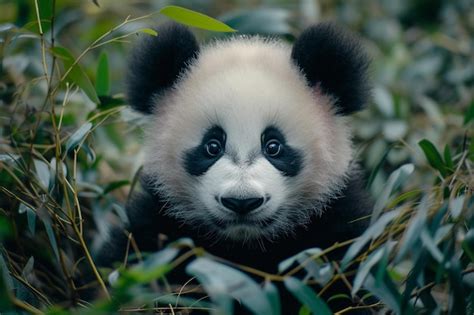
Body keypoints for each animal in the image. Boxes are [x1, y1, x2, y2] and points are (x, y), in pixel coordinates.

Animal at [92, 21, 374, 314]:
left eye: (274, 146)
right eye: (212, 146)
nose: (242, 202)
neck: (245, 247)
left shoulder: (338, 233)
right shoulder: (156, 230)